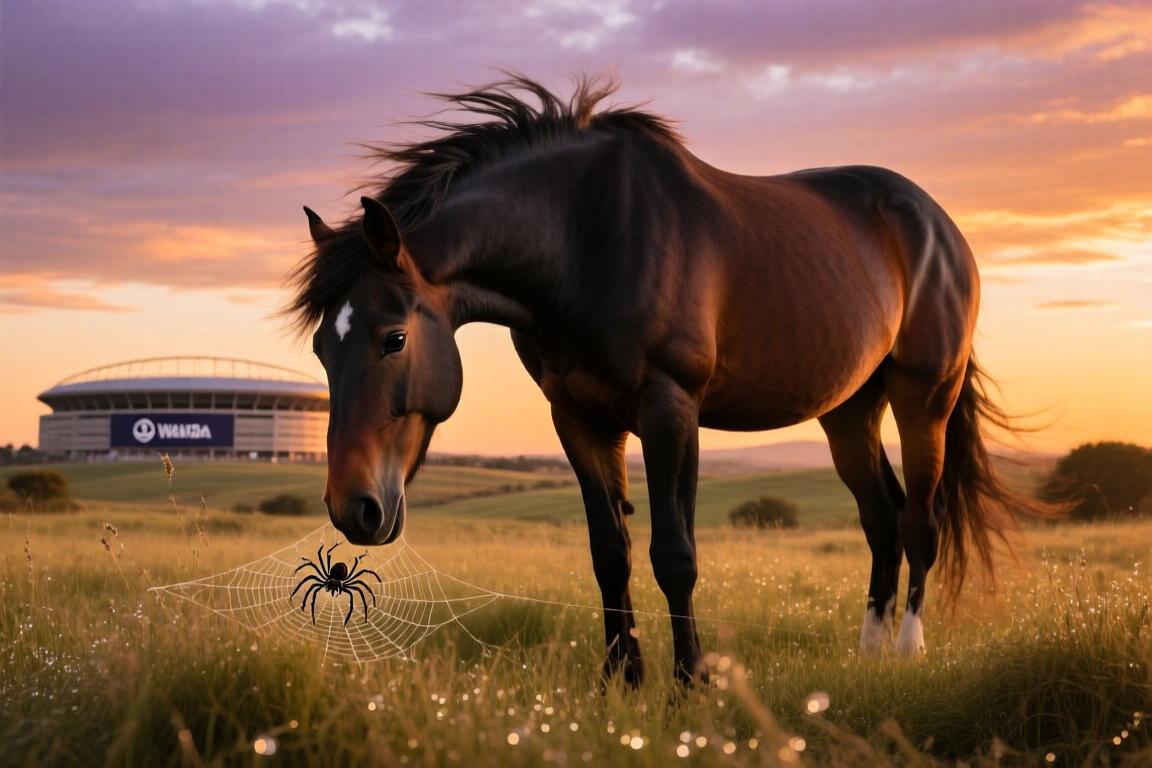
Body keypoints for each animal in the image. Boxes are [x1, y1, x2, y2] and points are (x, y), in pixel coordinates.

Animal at [288, 76, 1029, 687]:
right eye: (323, 347)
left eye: (394, 338)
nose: (354, 509)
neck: (585, 242)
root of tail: (937, 224)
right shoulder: (579, 417)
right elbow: (609, 553)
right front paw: (623, 680)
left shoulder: (670, 408)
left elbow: (675, 554)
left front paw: (689, 683)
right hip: (848, 408)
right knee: (879, 518)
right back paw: (868, 652)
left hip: (924, 398)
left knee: (919, 520)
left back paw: (907, 652)